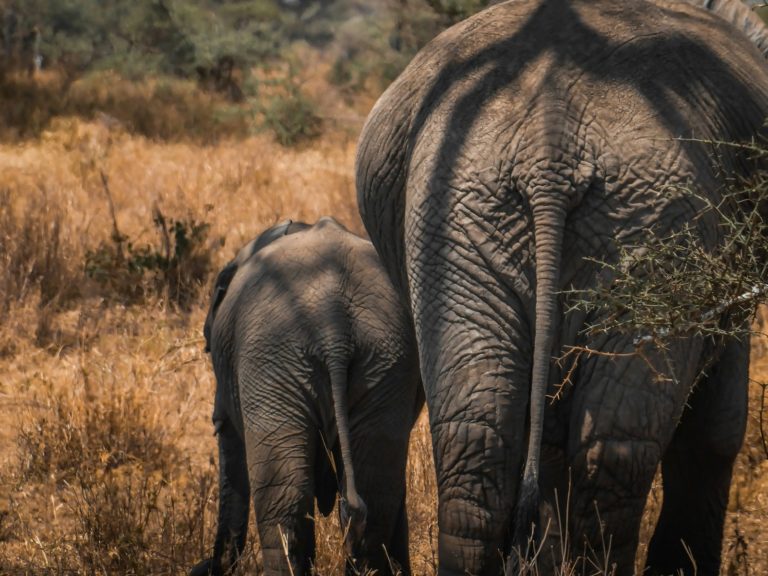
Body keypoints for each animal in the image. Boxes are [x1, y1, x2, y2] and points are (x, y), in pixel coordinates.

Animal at [190, 217, 424, 576]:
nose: (200, 566)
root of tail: (334, 328)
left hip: (273, 360)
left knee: (285, 509)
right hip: (387, 363)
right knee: (375, 496)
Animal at [356, 1, 768, 576]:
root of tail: (547, 151)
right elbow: (718, 429)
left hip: (455, 215)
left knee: (478, 440)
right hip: (655, 218)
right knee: (614, 454)